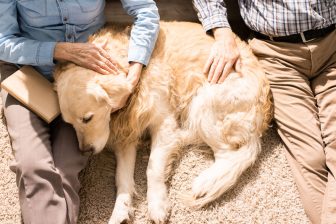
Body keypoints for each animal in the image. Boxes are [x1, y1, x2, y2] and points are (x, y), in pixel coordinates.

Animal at [53, 21, 272, 224]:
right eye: (69, 123)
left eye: (87, 118)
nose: (85, 150)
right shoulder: (126, 133)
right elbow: (121, 177)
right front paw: (120, 210)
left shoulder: (163, 122)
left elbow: (153, 168)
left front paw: (157, 205)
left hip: (205, 100)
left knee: (229, 154)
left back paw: (204, 181)